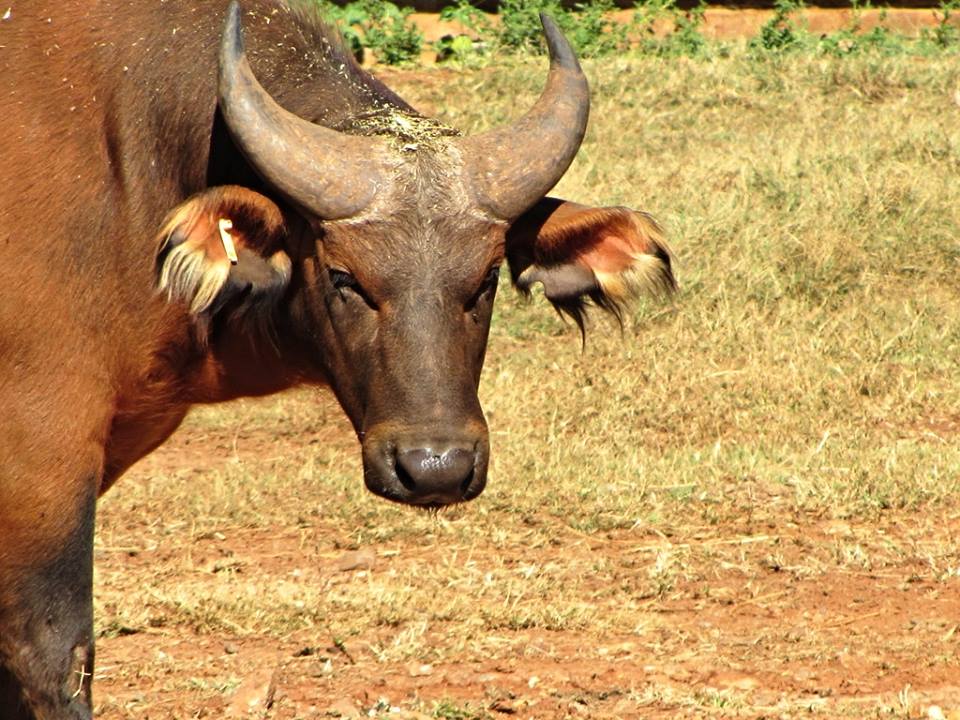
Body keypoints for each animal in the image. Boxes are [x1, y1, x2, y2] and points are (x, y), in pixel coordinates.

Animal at [0, 1, 673, 717]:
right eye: (345, 277)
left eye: (487, 278)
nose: (435, 467)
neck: (134, 169)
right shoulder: (42, 453)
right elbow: (53, 651)